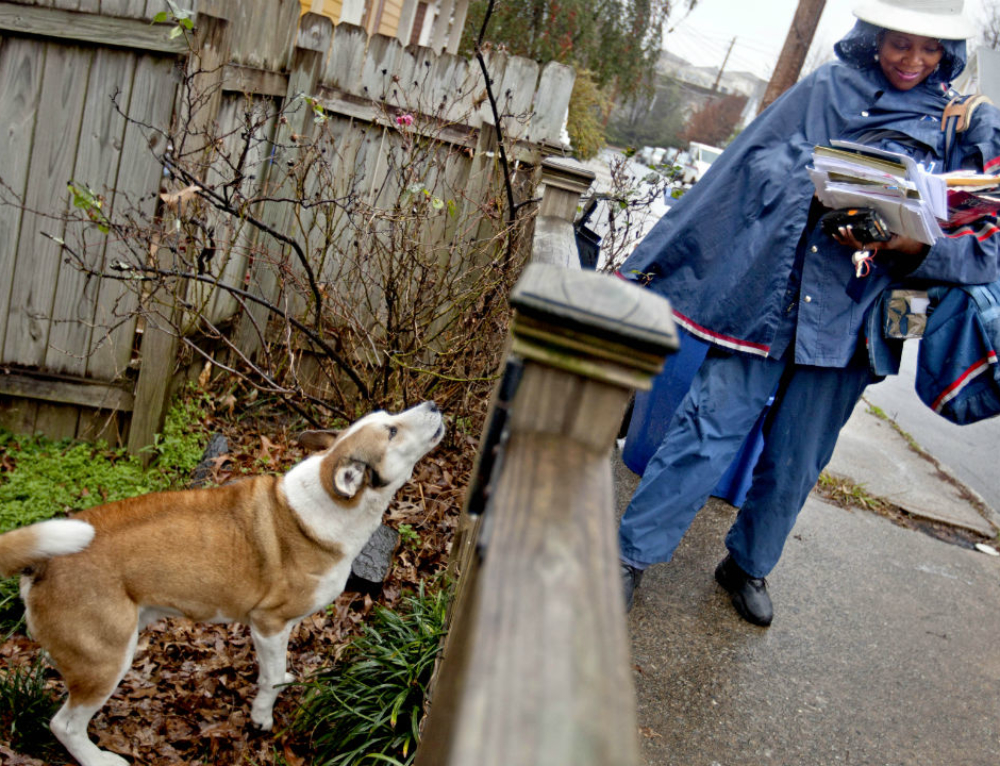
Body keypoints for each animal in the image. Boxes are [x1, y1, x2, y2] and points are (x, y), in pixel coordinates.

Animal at [0, 402, 446, 766]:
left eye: (389, 417)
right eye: (392, 431)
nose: (434, 404)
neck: (326, 501)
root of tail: (41, 563)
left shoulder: (278, 630)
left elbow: (277, 670)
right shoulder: (268, 624)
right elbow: (270, 677)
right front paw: (262, 716)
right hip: (105, 662)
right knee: (64, 726)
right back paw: (99, 760)